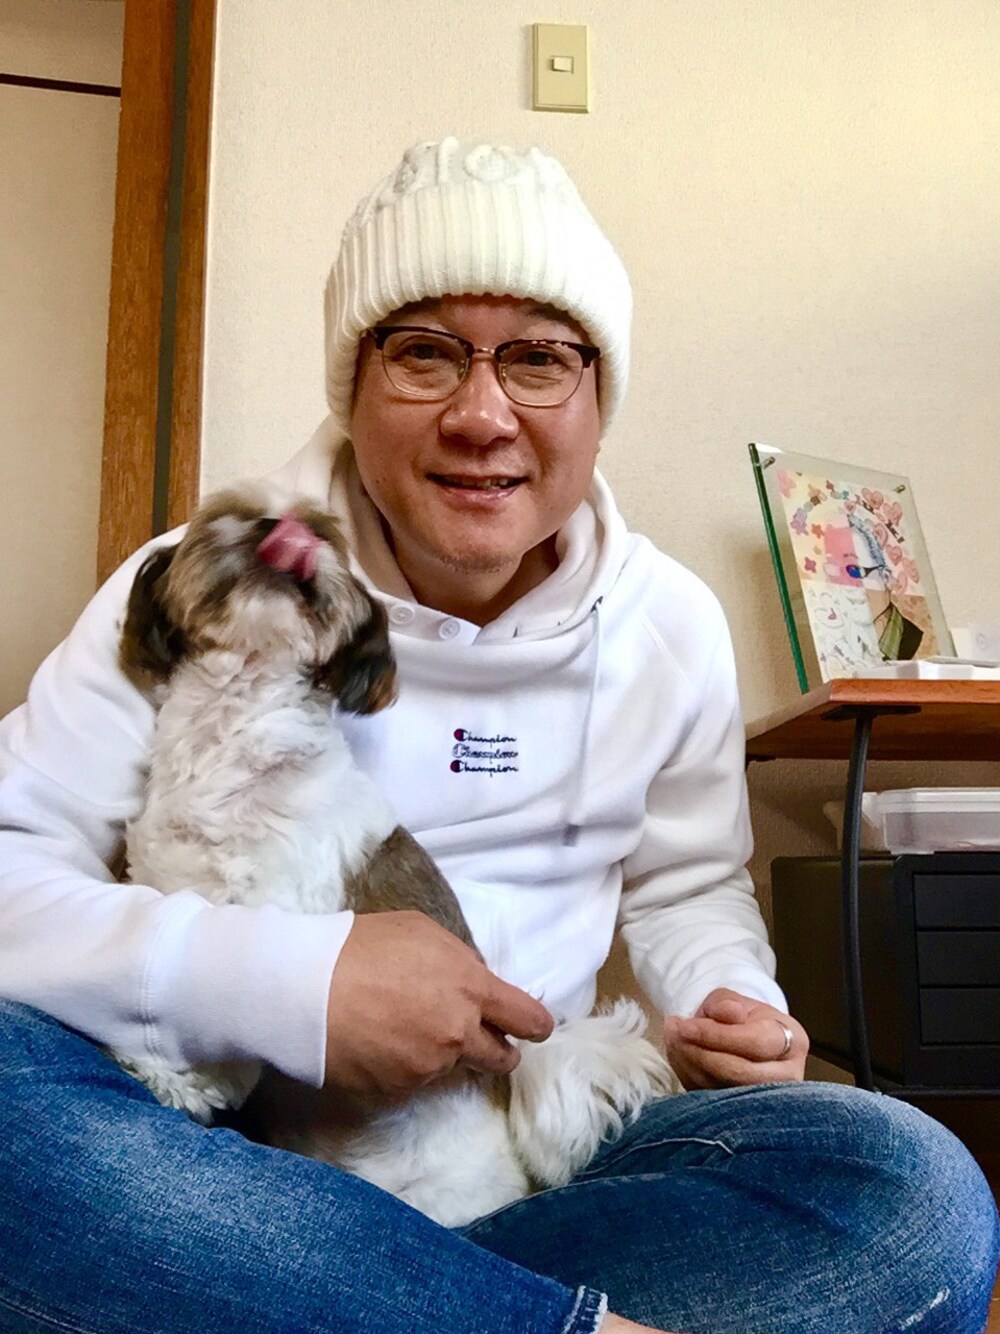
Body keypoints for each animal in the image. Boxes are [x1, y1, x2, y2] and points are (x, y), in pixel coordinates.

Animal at [115, 484, 673, 1227]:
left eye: (325, 533)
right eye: (225, 516)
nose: (278, 530)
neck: (234, 743)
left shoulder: (280, 920)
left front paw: (190, 1081)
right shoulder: (169, 887)